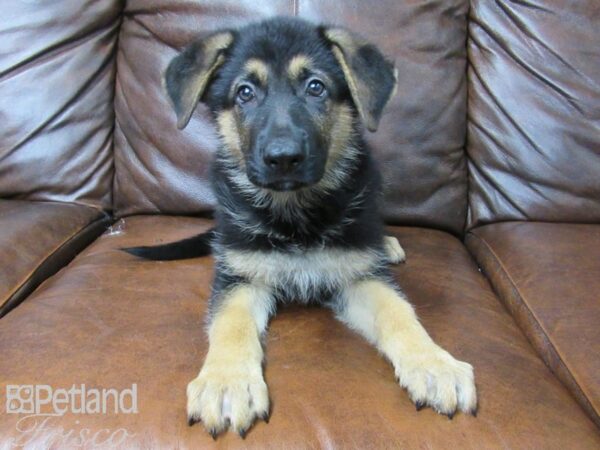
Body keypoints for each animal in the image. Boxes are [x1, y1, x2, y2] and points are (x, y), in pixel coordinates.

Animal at [124, 16, 476, 440]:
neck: (295, 214)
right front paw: (226, 383)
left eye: (315, 87)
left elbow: (400, 312)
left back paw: (387, 243)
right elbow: (230, 324)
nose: (283, 158)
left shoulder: (359, 276)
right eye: (244, 93)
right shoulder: (240, 276)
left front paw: (434, 363)